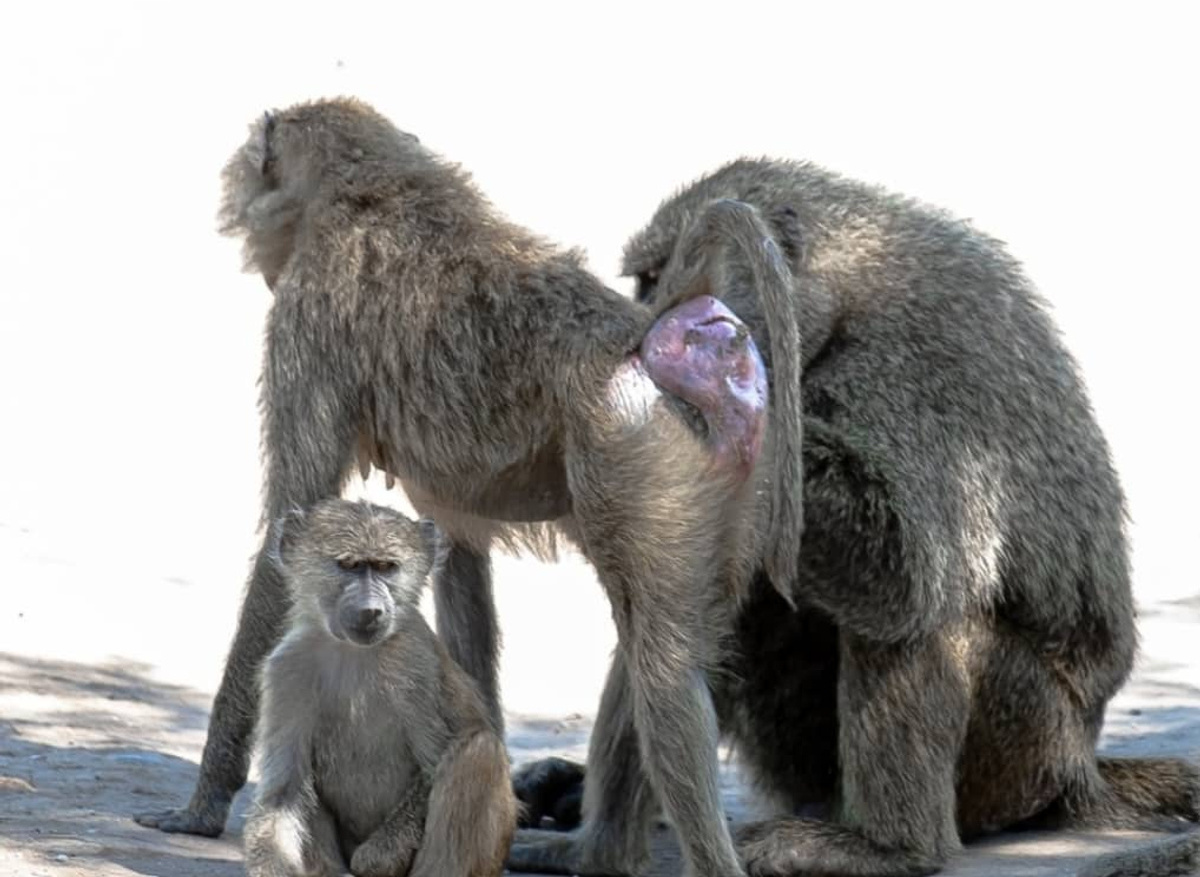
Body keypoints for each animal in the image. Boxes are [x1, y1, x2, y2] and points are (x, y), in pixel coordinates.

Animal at [242, 498, 516, 877]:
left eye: (386, 567)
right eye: (350, 565)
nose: (371, 610)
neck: (354, 652)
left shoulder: (415, 663)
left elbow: (434, 768)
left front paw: (375, 859)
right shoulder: (285, 670)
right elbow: (284, 794)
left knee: (479, 751)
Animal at [501, 158, 1200, 877]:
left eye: (653, 276)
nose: (634, 338)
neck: (850, 288)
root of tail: (1080, 762)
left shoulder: (905, 372)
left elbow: (909, 576)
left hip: (1022, 746)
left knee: (923, 611)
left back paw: (891, 848)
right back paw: (592, 850)